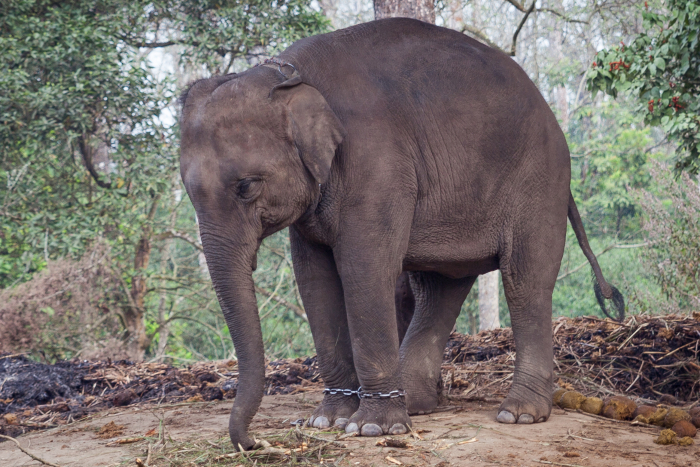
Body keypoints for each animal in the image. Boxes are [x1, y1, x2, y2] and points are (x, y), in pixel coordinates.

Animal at [179, 17, 624, 450]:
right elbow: (315, 280)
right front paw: (329, 420)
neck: (287, 74)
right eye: (187, 190)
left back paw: (519, 414)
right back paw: (417, 404)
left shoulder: (377, 163)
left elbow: (364, 270)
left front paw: (371, 428)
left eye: (246, 186)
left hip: (539, 182)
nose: (252, 442)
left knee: (524, 280)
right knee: (439, 288)